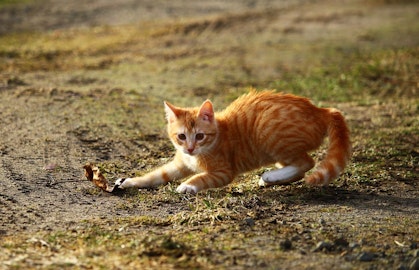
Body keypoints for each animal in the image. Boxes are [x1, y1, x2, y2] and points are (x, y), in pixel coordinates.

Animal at [115, 90, 352, 194]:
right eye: (181, 136)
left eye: (199, 136)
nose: (190, 148)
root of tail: (320, 110)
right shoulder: (179, 164)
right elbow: (156, 175)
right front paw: (130, 181)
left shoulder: (222, 172)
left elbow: (202, 177)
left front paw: (187, 185)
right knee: (299, 167)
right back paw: (273, 178)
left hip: (269, 133)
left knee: (306, 163)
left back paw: (270, 176)